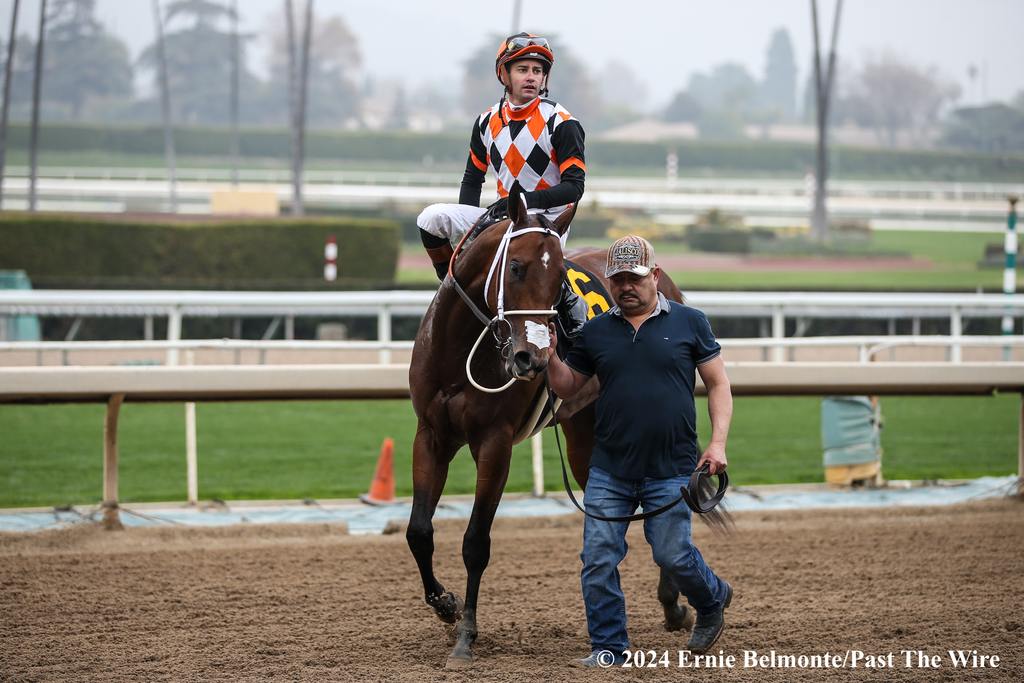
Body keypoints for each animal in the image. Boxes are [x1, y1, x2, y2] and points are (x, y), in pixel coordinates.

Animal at [403, 183, 708, 667]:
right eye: (515, 267)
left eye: (560, 281)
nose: (532, 358)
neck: (461, 348)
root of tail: (666, 284)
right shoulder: (431, 435)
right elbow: (419, 531)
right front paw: (445, 606)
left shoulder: (495, 443)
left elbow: (475, 542)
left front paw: (466, 636)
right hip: (585, 435)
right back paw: (670, 604)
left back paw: (673, 601)